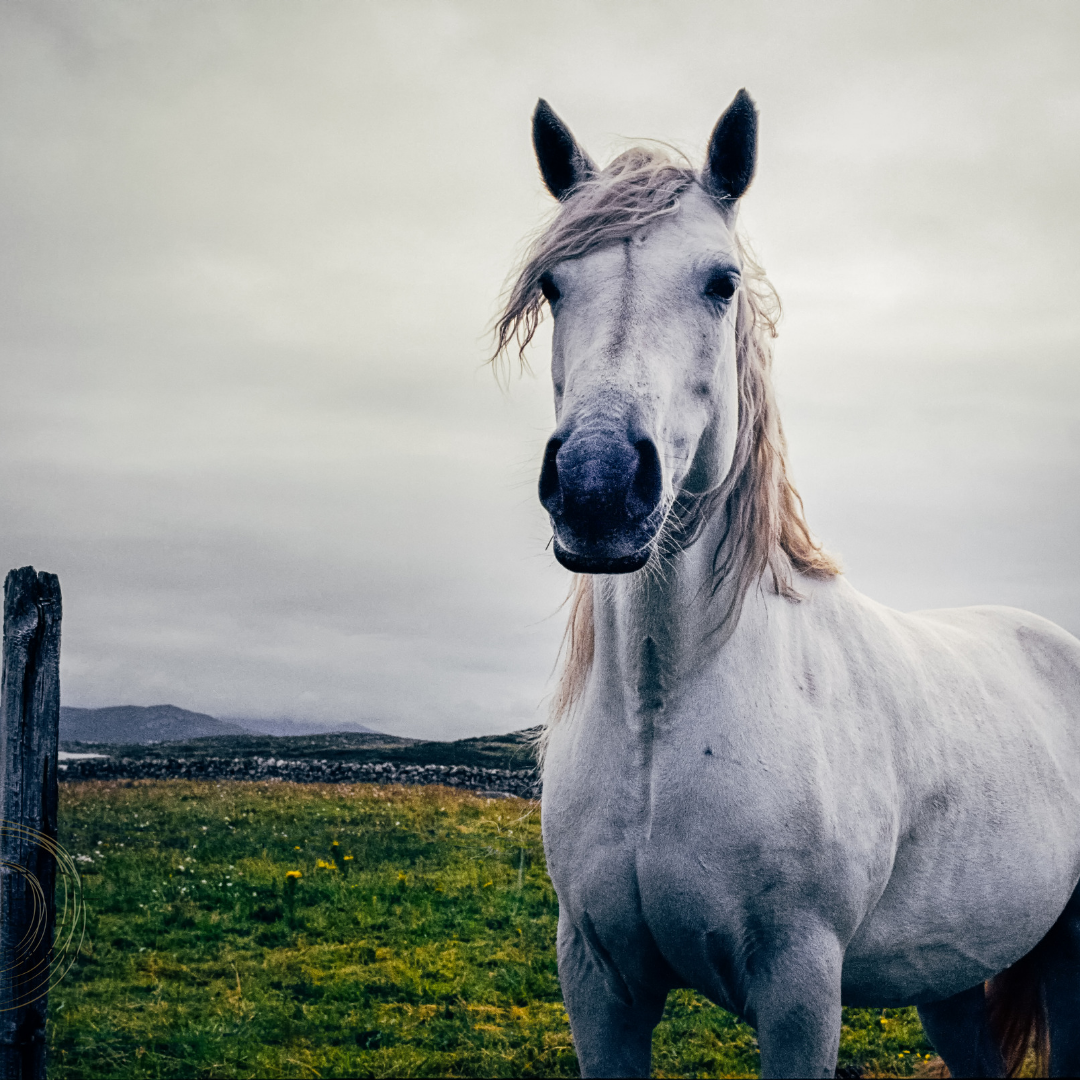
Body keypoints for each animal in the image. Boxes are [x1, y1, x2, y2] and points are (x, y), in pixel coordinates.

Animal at [494, 88, 1080, 1075]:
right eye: (553, 286)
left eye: (721, 282)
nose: (599, 487)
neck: (663, 715)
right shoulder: (600, 982)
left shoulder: (801, 988)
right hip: (951, 980)